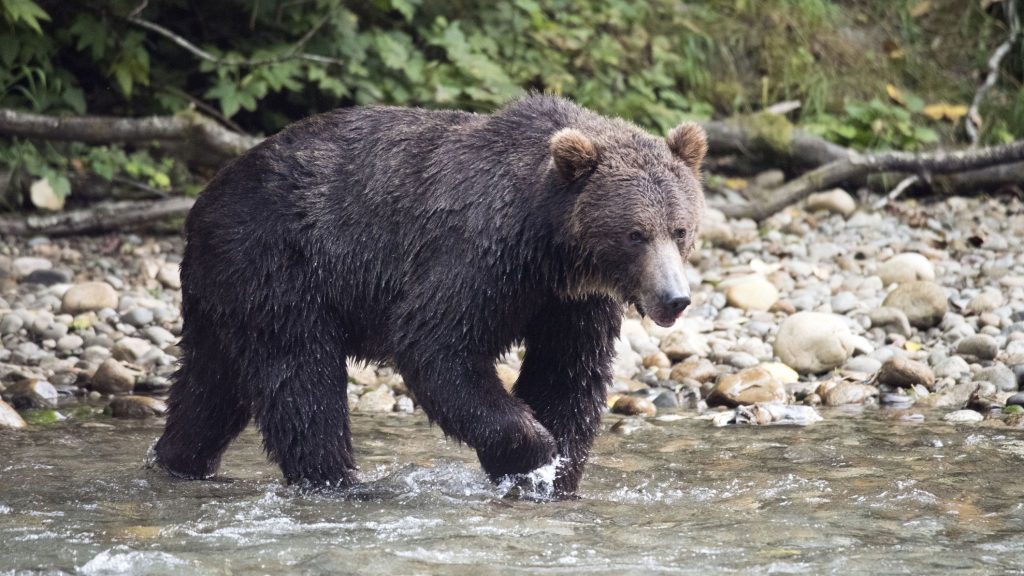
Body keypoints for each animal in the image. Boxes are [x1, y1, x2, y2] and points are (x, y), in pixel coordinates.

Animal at [152, 94, 706, 496]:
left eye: (680, 229)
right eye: (635, 233)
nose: (674, 298)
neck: (549, 245)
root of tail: (205, 200)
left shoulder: (569, 302)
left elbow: (566, 374)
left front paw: (556, 474)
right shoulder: (475, 256)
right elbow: (436, 344)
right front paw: (532, 451)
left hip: (224, 294)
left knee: (210, 387)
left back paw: (178, 460)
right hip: (278, 266)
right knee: (300, 380)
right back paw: (339, 481)